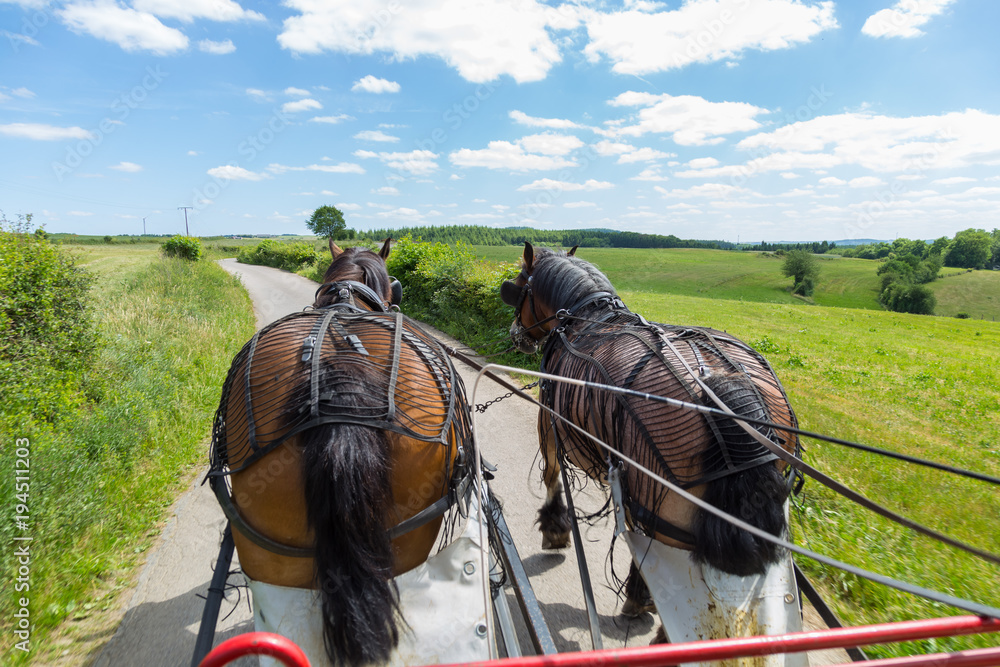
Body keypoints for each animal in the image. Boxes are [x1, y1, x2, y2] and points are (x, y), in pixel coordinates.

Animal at [504, 243, 800, 620]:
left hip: (664, 514)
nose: (515, 334)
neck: (586, 316)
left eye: (518, 284)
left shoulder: (549, 421)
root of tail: (721, 385)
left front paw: (554, 528)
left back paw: (637, 598)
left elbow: (551, 474)